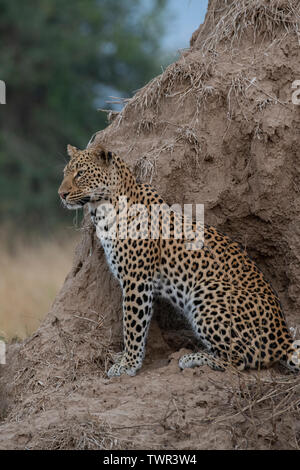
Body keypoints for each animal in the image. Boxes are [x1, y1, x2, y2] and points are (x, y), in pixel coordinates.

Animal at [58, 143, 300, 378]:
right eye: (65, 173)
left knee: (240, 360)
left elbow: (133, 326)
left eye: (80, 173)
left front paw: (128, 365)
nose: (61, 194)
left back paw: (195, 358)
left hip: (207, 290)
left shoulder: (136, 280)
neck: (104, 208)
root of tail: (283, 338)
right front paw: (124, 358)